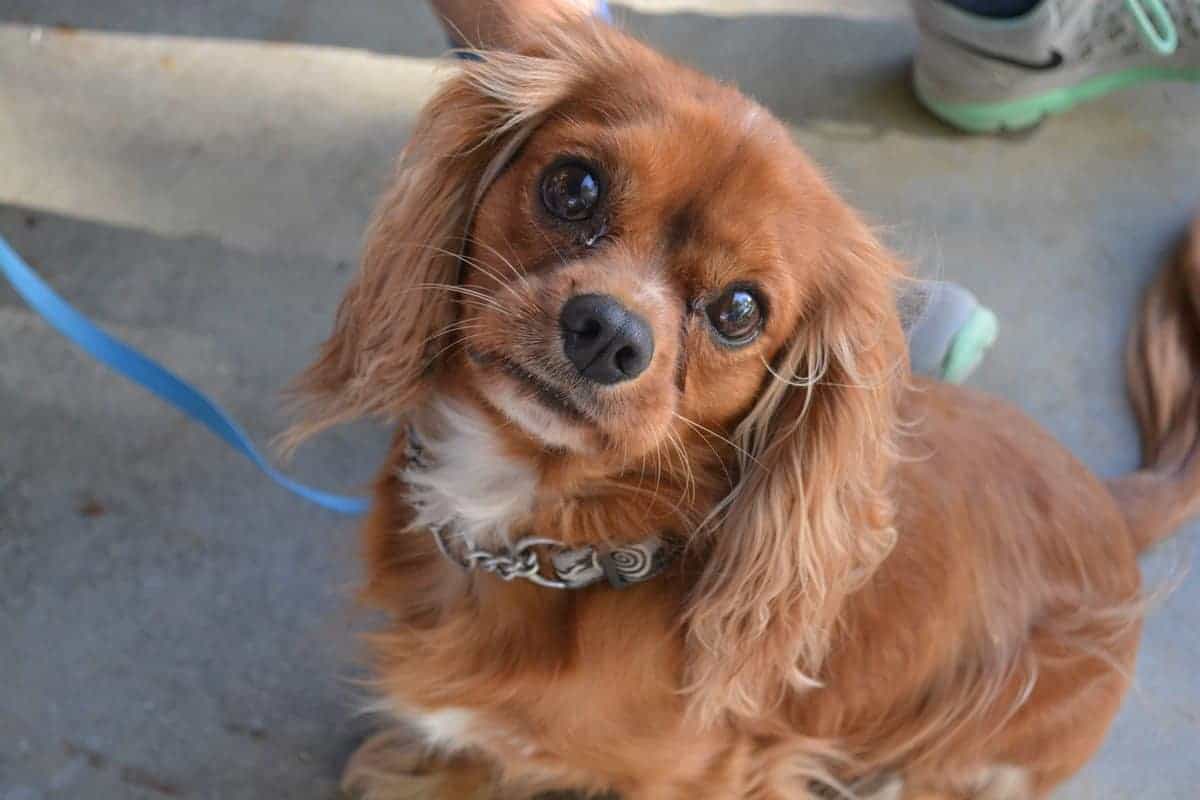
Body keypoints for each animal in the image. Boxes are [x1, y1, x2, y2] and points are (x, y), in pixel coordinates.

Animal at [290, 14, 1200, 800]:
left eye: (738, 310)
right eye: (572, 186)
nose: (608, 333)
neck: (538, 528)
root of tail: (1112, 503)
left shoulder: (712, 774)